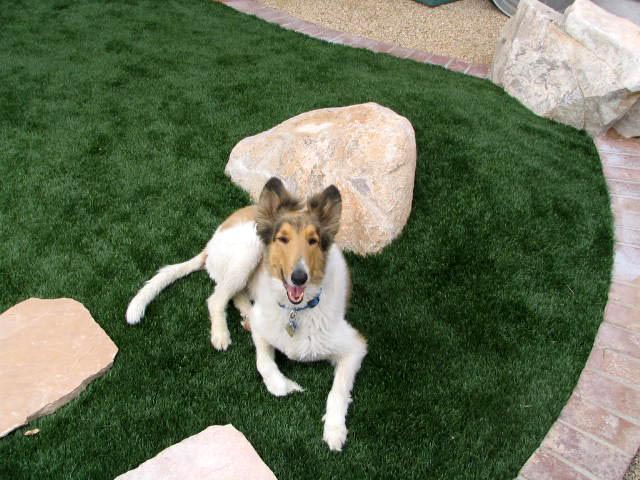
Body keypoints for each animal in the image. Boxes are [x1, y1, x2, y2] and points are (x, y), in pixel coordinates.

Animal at [126, 176, 364, 450]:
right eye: (283, 239)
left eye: (313, 241)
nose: (299, 277)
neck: (295, 312)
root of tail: (211, 242)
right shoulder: (265, 331)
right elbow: (264, 363)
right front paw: (286, 386)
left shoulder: (355, 346)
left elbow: (338, 390)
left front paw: (334, 430)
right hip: (249, 250)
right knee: (216, 298)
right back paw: (221, 333)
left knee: (234, 295)